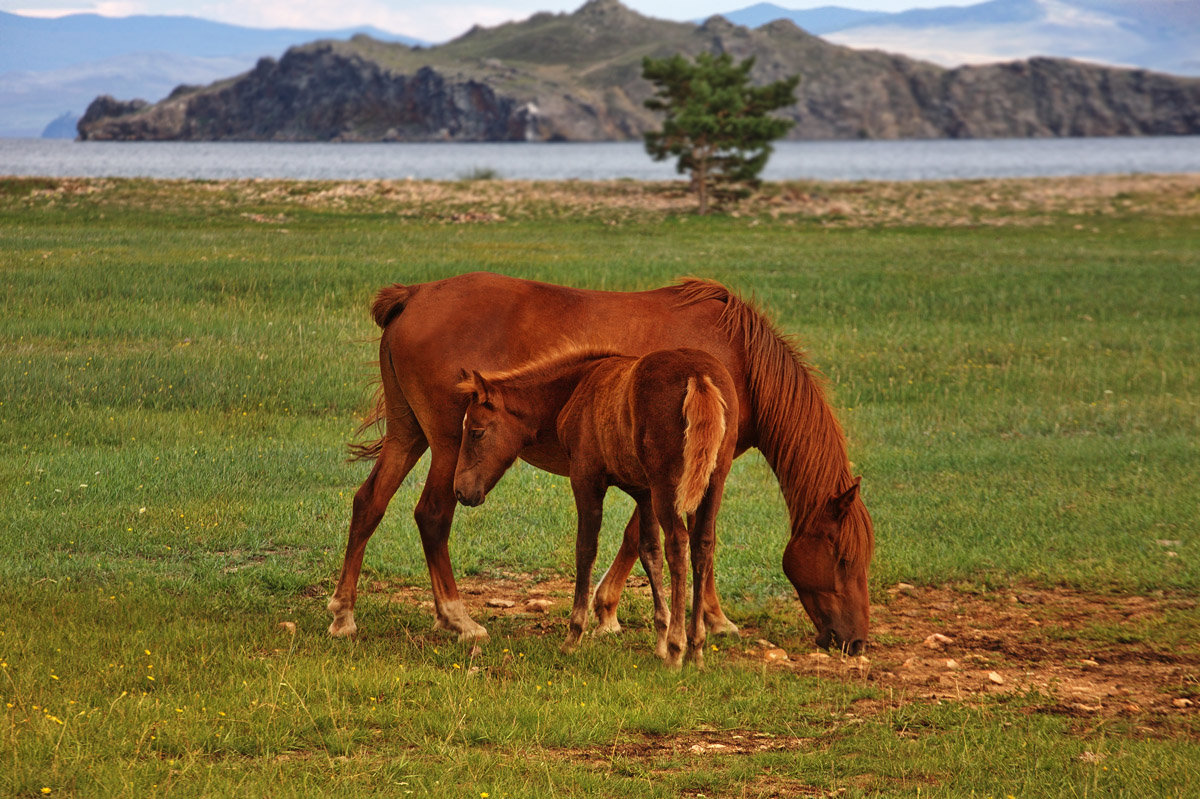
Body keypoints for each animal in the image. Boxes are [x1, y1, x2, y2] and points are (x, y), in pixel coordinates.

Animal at [453, 347, 739, 667]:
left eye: (476, 432)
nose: (461, 491)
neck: (579, 386)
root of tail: (698, 376)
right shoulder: (644, 492)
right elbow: (649, 552)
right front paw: (659, 640)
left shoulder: (586, 480)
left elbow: (586, 549)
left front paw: (573, 636)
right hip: (712, 482)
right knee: (703, 546)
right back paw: (696, 649)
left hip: (668, 488)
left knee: (678, 545)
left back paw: (678, 649)